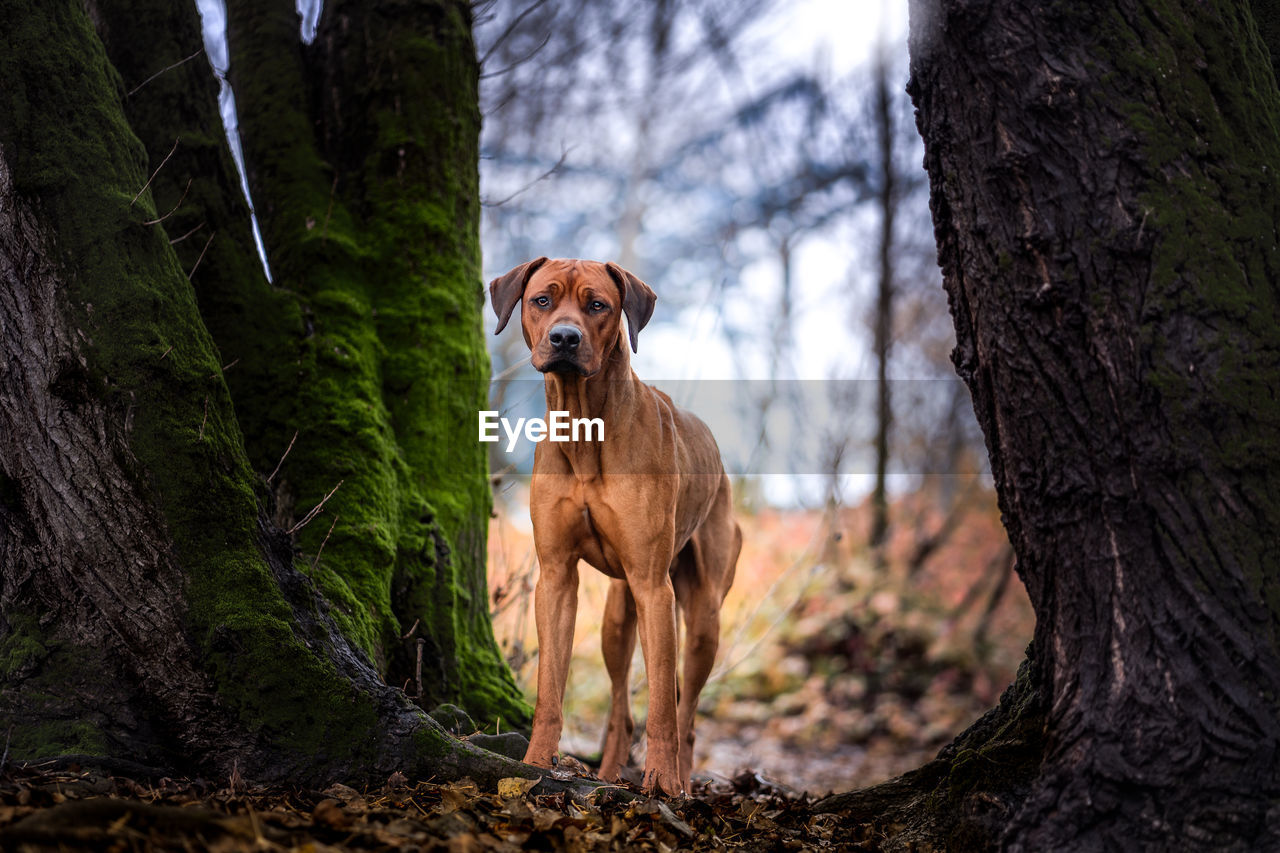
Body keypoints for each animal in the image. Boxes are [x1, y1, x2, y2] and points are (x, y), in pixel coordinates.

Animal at [488, 256, 742, 794]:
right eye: (543, 299)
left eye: (597, 305)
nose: (564, 338)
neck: (586, 429)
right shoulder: (557, 577)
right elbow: (550, 689)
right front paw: (536, 763)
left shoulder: (653, 587)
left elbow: (663, 707)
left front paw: (661, 783)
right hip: (616, 613)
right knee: (621, 705)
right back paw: (606, 773)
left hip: (703, 615)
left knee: (686, 712)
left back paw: (682, 781)